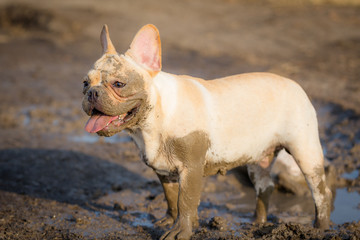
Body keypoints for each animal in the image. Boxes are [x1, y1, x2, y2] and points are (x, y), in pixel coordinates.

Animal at [81, 24, 332, 240]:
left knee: (320, 191)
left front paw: (180, 232)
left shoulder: (190, 169)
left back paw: (320, 228)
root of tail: (294, 84)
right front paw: (169, 220)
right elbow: (171, 197)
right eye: (85, 83)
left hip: (305, 151)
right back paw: (257, 222)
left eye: (118, 84)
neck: (154, 119)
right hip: (257, 159)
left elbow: (186, 201)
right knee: (265, 186)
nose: (92, 93)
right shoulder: (163, 170)